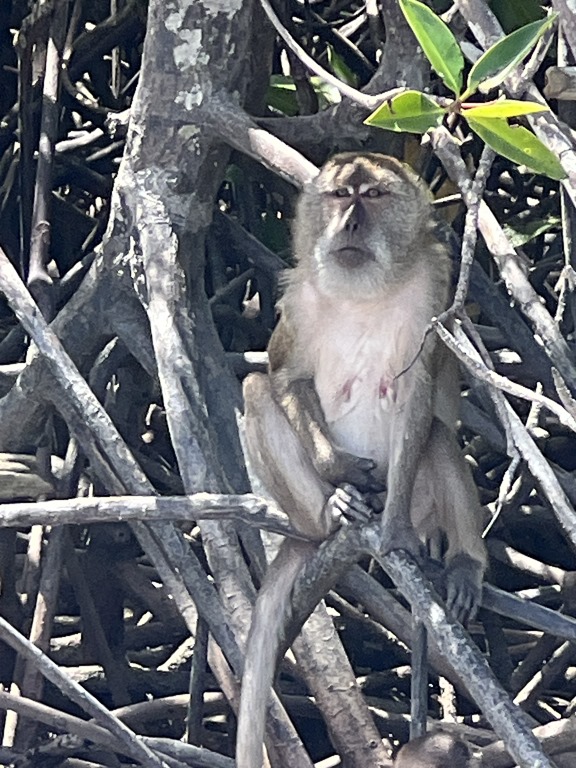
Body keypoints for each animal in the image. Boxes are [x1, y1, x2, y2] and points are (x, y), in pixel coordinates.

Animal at [237, 153, 487, 768]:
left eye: (372, 196)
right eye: (338, 195)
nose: (350, 221)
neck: (362, 294)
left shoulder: (432, 292)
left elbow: (420, 395)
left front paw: (393, 529)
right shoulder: (296, 298)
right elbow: (285, 377)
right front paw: (341, 473)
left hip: (425, 503)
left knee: (438, 437)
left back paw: (462, 562)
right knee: (256, 389)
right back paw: (332, 513)